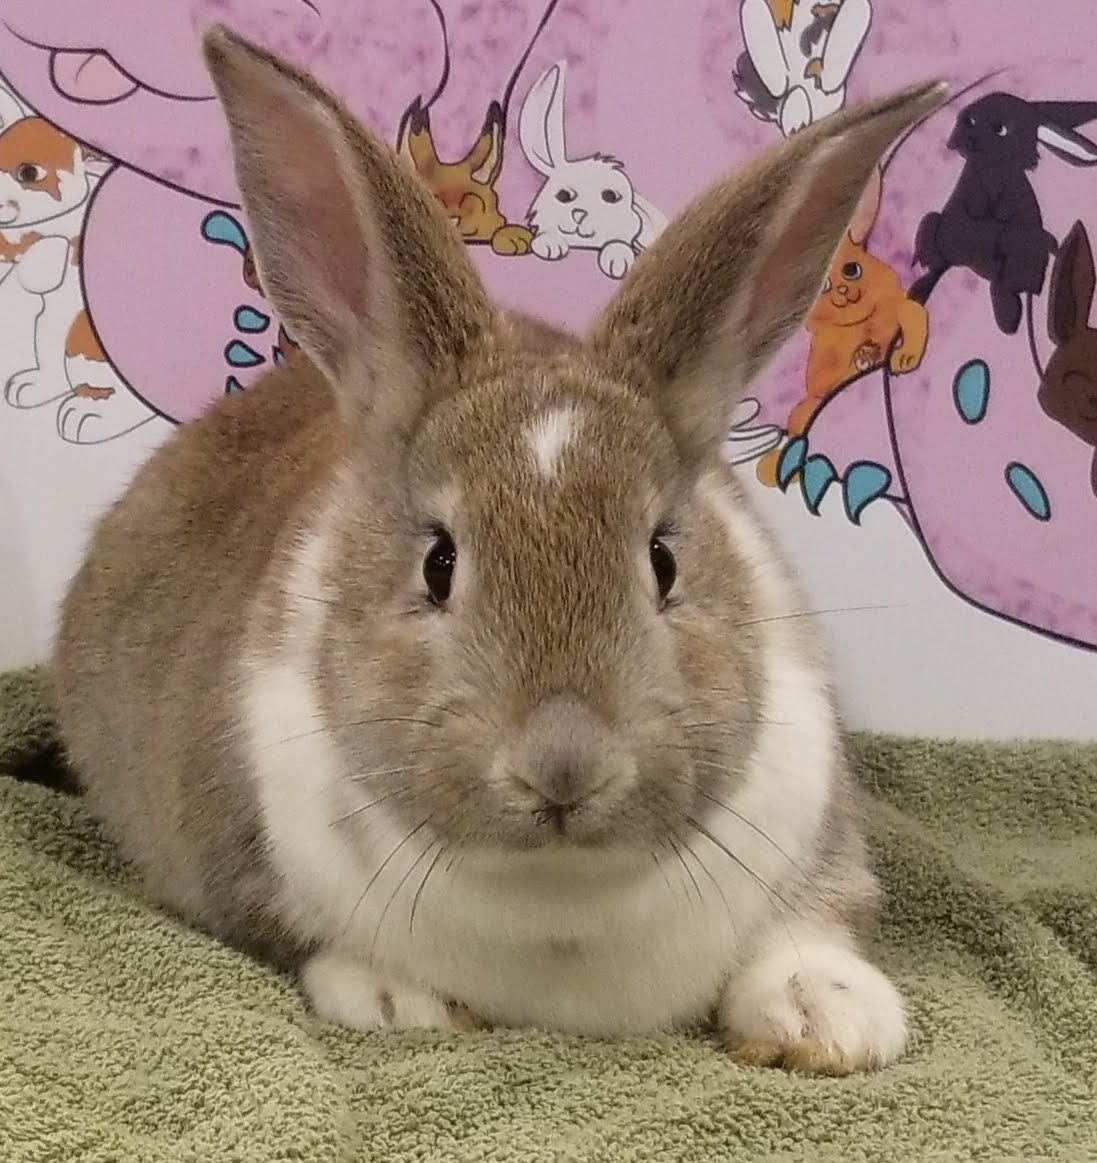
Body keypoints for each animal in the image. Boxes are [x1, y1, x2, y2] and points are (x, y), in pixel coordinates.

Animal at [518, 61, 667, 280]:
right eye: (563, 195)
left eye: (610, 196)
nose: (579, 214)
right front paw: (551, 245)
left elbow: (618, 245)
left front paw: (617, 261)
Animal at [910, 92, 1097, 336]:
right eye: (970, 120)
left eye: (1001, 129)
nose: (967, 140)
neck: (992, 168)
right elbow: (950, 220)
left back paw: (1007, 318)